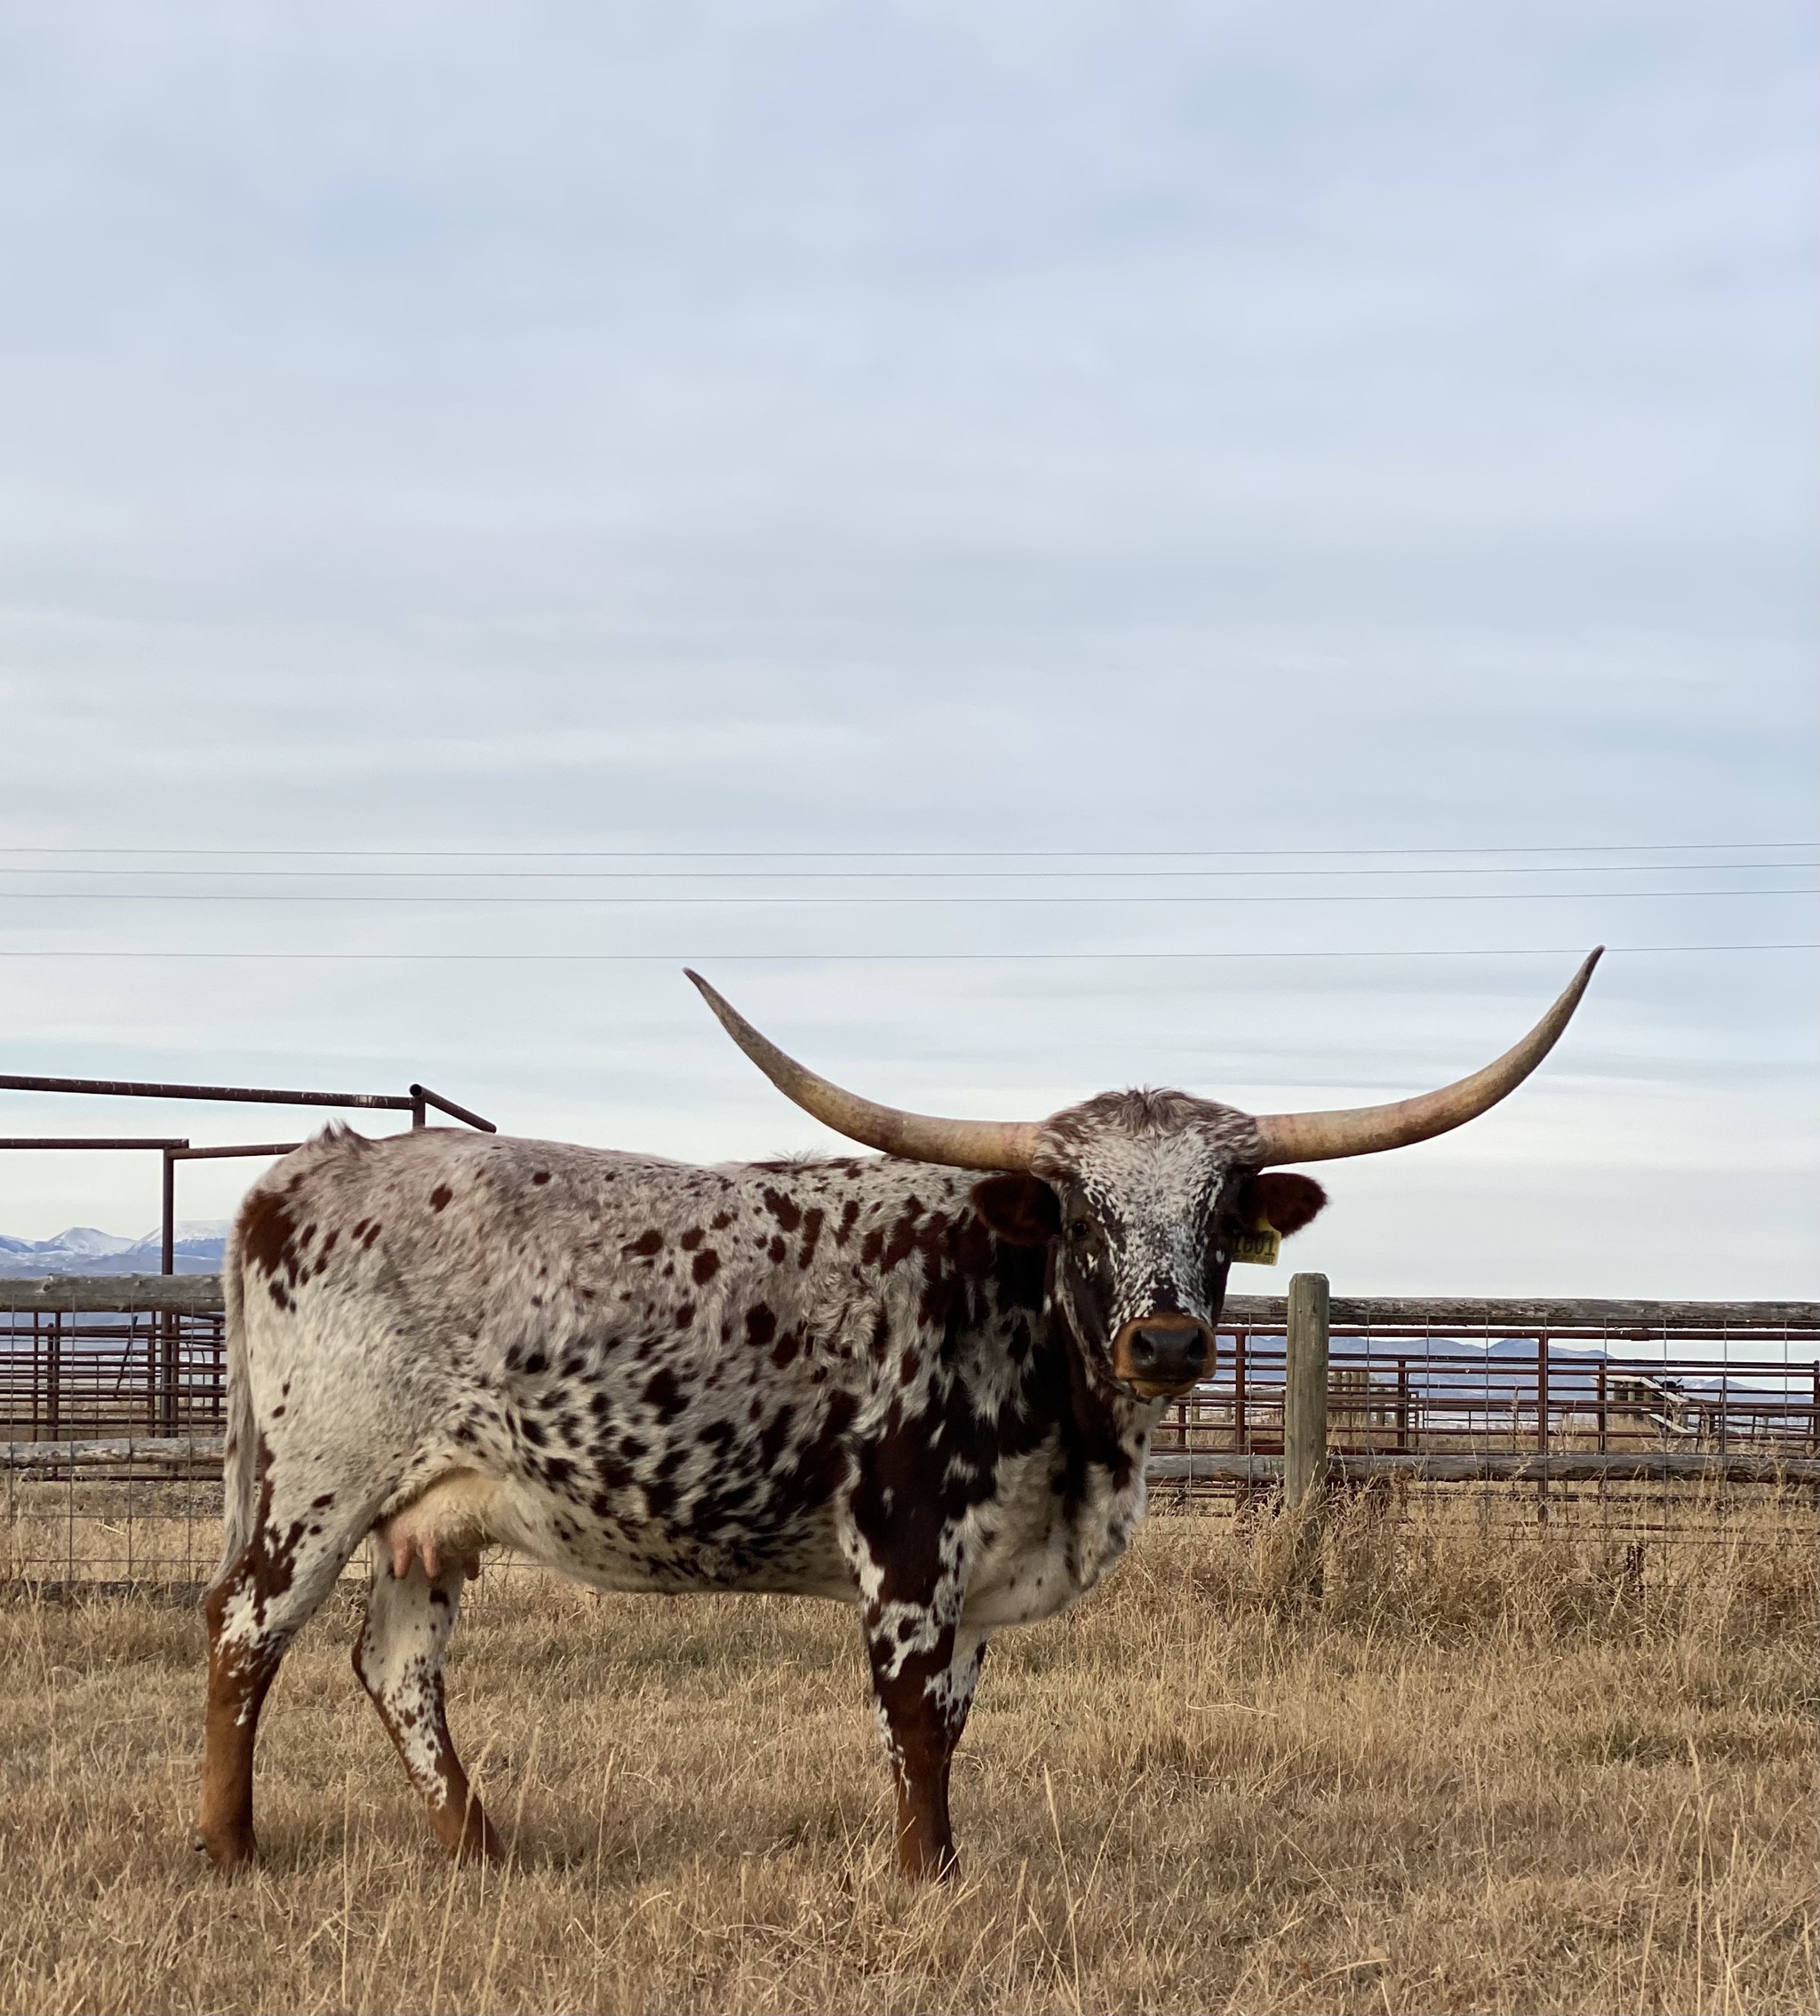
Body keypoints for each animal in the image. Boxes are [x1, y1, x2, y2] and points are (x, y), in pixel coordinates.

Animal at [197, 951, 1600, 1878]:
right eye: (1082, 1215)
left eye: (1220, 1211)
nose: (1165, 1340)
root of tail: (309, 1168)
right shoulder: (906, 1552)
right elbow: (913, 1728)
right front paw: (927, 1879)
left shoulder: (977, 1582)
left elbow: (955, 1724)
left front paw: (949, 1868)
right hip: (318, 1480)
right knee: (244, 1633)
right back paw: (231, 1845)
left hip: (433, 1513)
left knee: (396, 1665)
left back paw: (482, 1847)